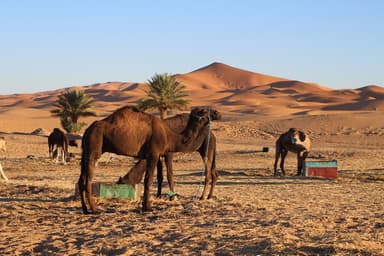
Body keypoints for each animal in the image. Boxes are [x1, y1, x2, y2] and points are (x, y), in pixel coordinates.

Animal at [79, 105, 216, 213]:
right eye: (204, 111)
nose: (217, 114)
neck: (170, 137)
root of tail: (87, 130)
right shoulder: (154, 154)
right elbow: (149, 180)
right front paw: (148, 207)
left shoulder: (157, 154)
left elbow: (153, 178)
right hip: (94, 146)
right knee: (89, 179)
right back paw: (94, 209)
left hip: (85, 151)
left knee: (81, 179)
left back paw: (85, 210)